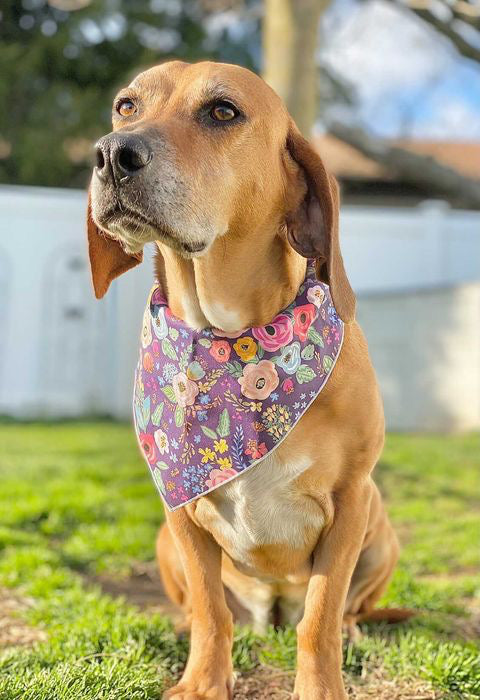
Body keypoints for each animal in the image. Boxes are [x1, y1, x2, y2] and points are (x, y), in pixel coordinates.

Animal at [87, 60, 402, 700]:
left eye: (222, 111)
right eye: (126, 106)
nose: (110, 154)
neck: (234, 340)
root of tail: (271, 609)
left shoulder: (351, 500)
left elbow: (320, 619)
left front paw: (320, 687)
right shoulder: (181, 511)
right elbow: (213, 613)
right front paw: (203, 681)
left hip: (382, 527)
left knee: (340, 611)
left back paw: (351, 629)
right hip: (166, 539)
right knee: (209, 609)